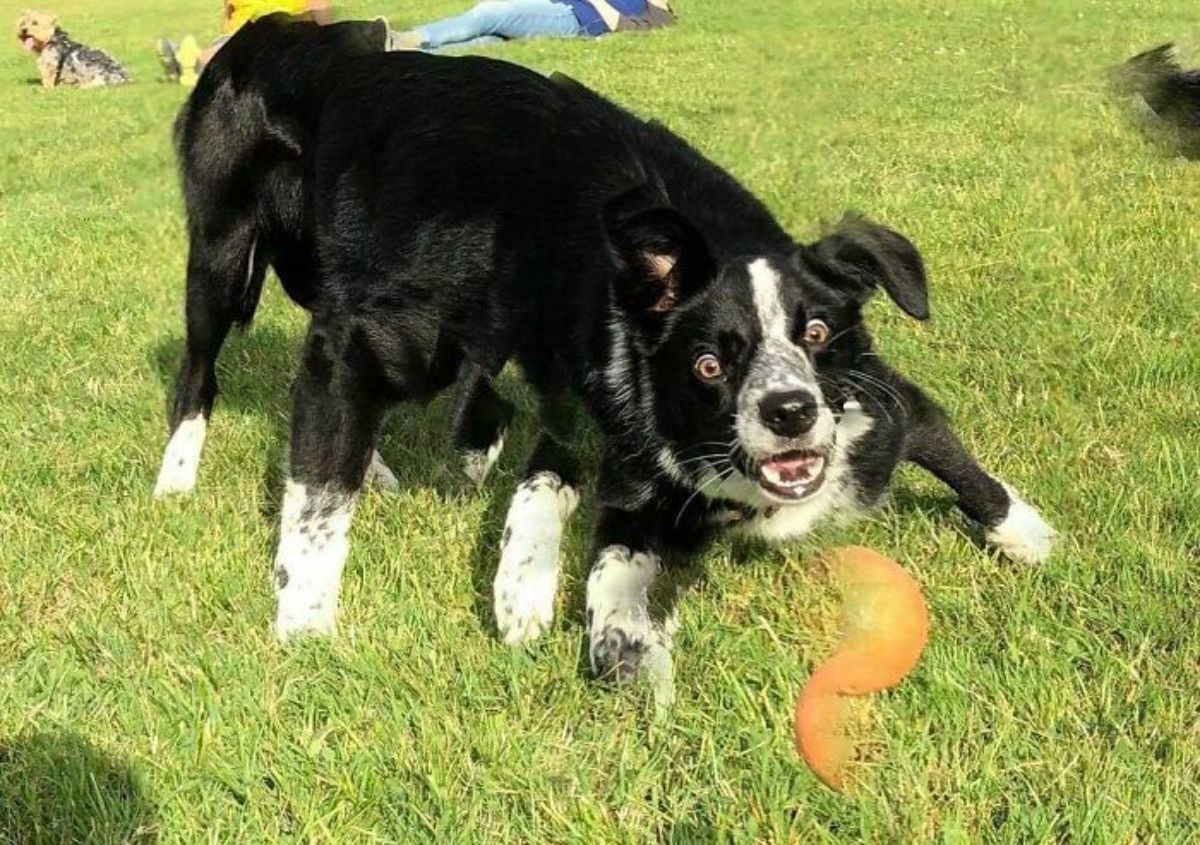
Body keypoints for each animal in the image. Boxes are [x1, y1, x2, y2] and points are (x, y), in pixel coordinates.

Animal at [154, 14, 1056, 681]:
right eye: (709, 362)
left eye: (818, 333)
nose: (792, 412)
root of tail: (271, 31)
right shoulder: (370, 341)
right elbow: (318, 502)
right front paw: (306, 627)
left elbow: (936, 434)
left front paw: (1021, 530)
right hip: (222, 254)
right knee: (204, 371)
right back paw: (178, 478)